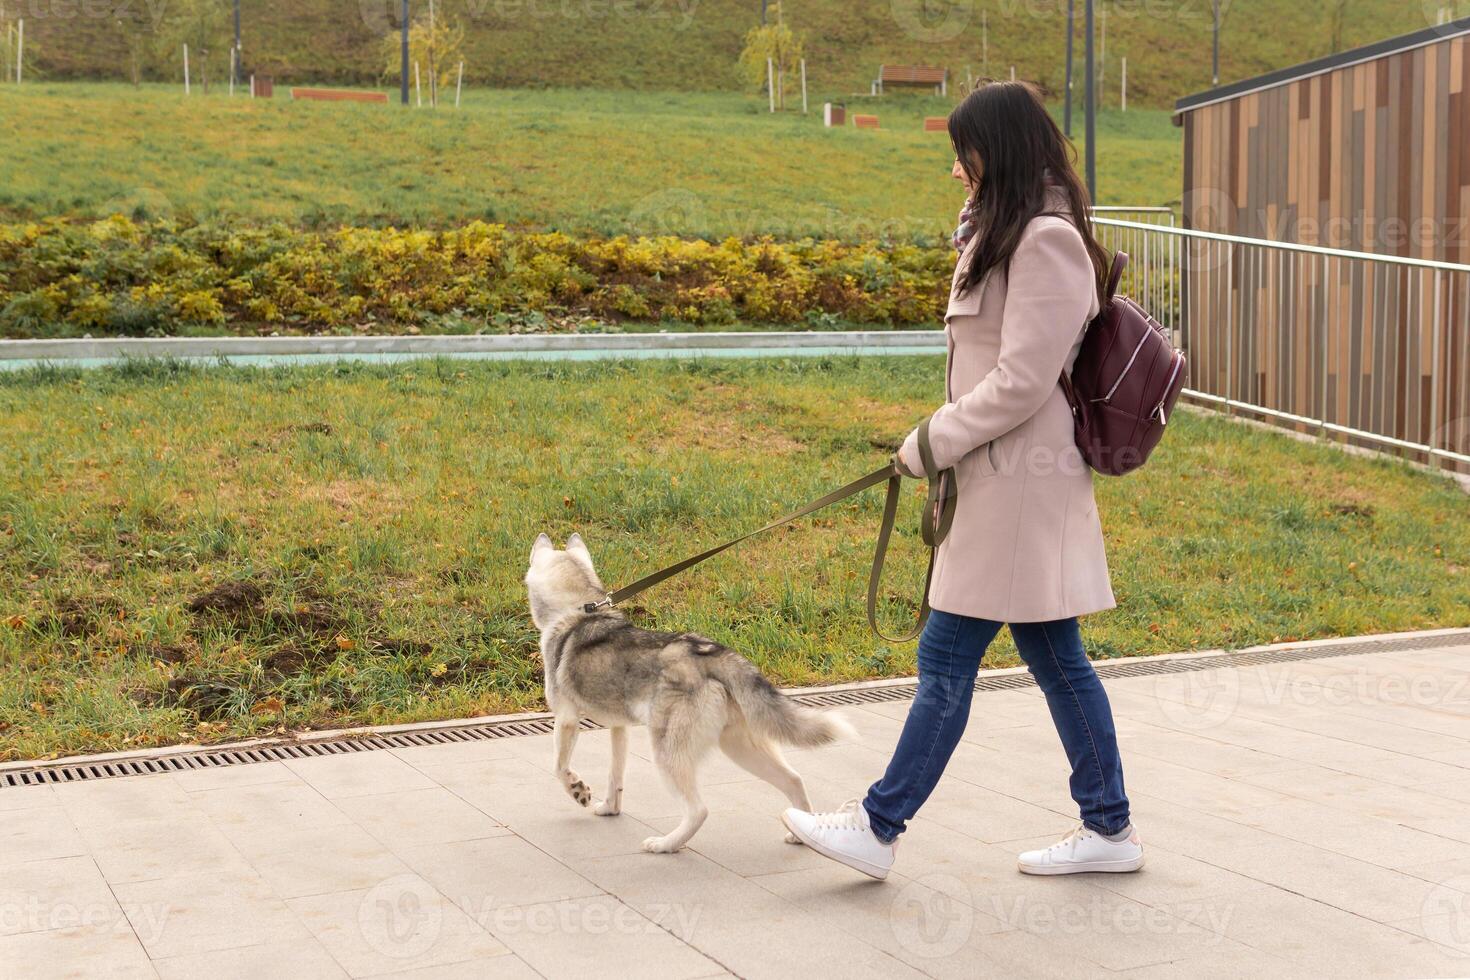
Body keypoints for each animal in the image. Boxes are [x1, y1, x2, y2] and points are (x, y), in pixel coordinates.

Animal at [529, 531, 858, 852]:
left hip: (668, 753)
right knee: (794, 780)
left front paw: (578, 790)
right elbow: (615, 775)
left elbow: (559, 767)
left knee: (699, 810)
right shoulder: (618, 728)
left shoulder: (566, 719)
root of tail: (712, 654)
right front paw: (610, 808)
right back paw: (803, 833)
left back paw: (666, 844)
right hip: (740, 747)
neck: (577, 610)